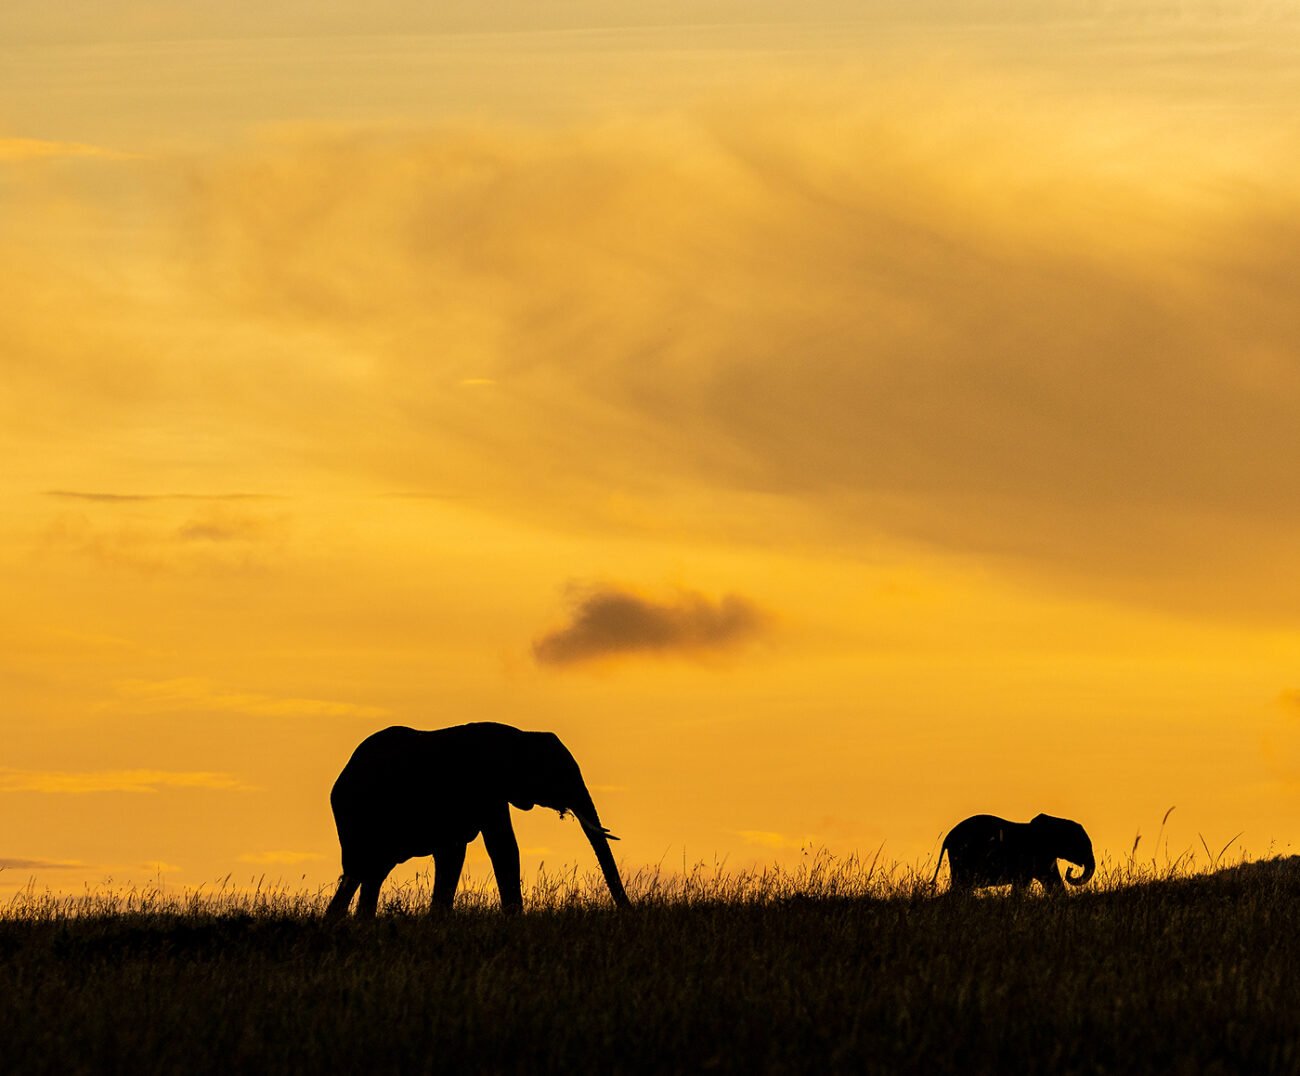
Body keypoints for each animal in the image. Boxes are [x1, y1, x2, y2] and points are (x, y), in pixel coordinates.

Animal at [325, 722, 630, 918]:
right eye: (559, 774)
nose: (628, 912)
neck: (520, 736)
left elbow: (455, 853)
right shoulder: (485, 786)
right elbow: (502, 847)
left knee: (368, 872)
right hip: (359, 816)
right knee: (363, 868)